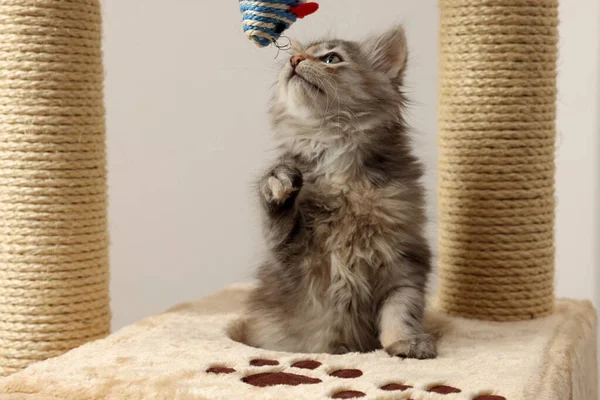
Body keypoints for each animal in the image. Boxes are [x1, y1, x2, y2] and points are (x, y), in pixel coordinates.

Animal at [244, 25, 436, 360]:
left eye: (331, 59)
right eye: (296, 55)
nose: (294, 60)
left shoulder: (407, 259)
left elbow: (402, 309)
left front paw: (407, 343)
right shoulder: (288, 257)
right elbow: (278, 221)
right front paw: (278, 182)